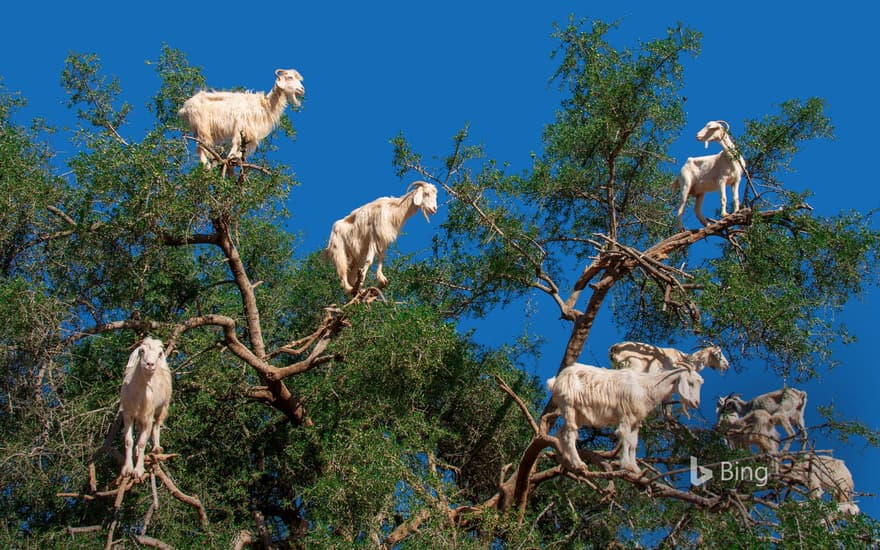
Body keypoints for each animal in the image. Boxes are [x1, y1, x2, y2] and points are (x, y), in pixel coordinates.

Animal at [121, 334, 174, 480]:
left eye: (159, 353)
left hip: (164, 406)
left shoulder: (148, 417)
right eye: (142, 351)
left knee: (157, 426)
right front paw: (127, 469)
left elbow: (142, 442)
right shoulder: (128, 414)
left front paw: (138, 471)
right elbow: (128, 440)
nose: (150, 364)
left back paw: (156, 448)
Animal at [548, 362, 704, 474]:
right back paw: (579, 464)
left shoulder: (636, 420)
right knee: (570, 434)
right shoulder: (626, 417)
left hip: (579, 415)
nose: (696, 403)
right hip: (569, 407)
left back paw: (568, 459)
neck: (646, 386)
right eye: (690, 383)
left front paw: (635, 468)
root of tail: (556, 381)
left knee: (562, 432)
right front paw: (626, 465)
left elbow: (633, 443)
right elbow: (625, 438)